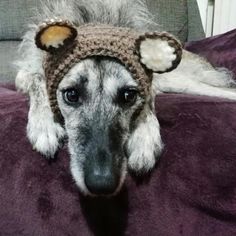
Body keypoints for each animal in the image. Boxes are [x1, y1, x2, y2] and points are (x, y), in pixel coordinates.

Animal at [15, 0, 236, 196]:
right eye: (71, 95)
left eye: (128, 95)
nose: (101, 184)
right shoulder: (24, 74)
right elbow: (37, 81)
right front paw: (45, 125)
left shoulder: (149, 85)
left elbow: (148, 103)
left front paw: (144, 138)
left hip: (182, 81)